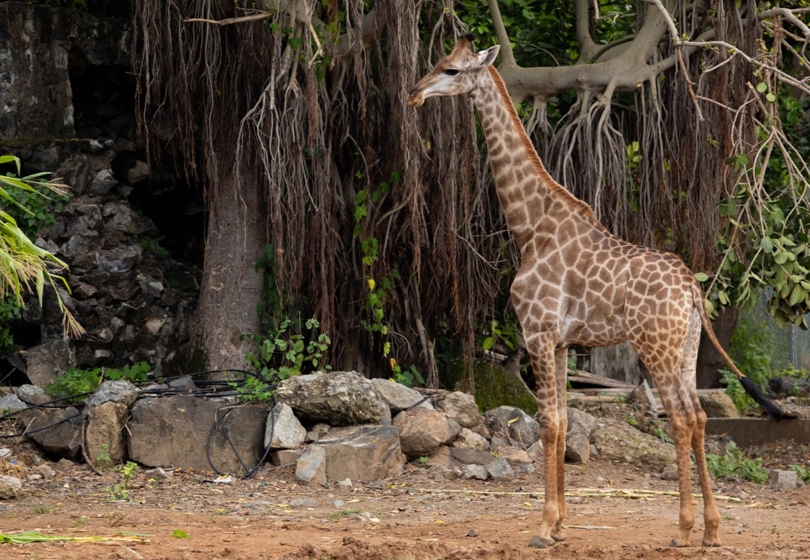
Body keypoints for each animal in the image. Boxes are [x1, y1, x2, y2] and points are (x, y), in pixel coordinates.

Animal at [408, 34, 780, 548]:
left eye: (450, 69)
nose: (415, 93)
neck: (531, 228)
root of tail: (692, 289)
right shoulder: (562, 342)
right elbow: (564, 422)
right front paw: (560, 524)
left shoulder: (538, 332)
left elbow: (547, 423)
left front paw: (543, 526)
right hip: (685, 347)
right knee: (701, 417)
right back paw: (712, 529)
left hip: (655, 347)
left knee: (681, 418)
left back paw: (684, 529)